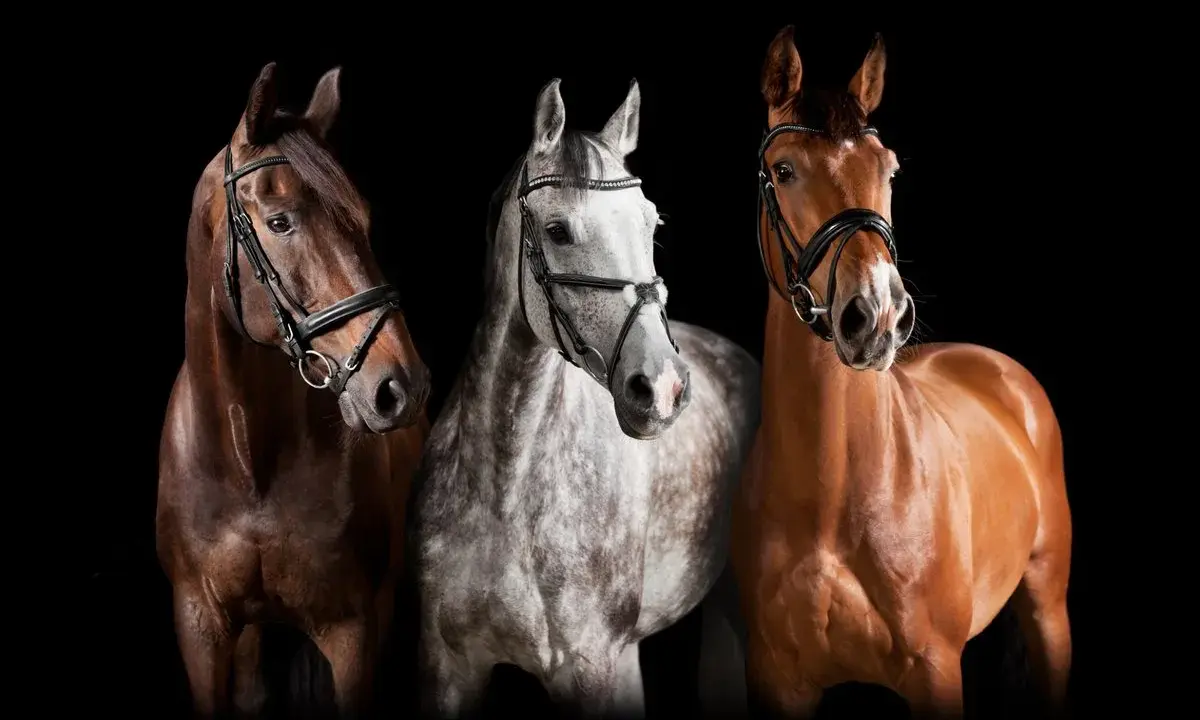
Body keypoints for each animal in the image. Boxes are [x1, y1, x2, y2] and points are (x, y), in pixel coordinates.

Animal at [155, 62, 431, 719]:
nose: (401, 387)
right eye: (281, 221)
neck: (248, 463)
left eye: (363, 220)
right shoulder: (201, 627)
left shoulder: (353, 634)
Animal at [411, 78, 761, 719]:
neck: (507, 487)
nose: (662, 387)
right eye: (557, 231)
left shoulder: (592, 668)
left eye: (652, 225)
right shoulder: (446, 670)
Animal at [730, 27, 1074, 720]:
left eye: (888, 169)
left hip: (1049, 607)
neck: (832, 496)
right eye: (784, 171)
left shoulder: (935, 670)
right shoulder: (776, 679)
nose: (879, 313)